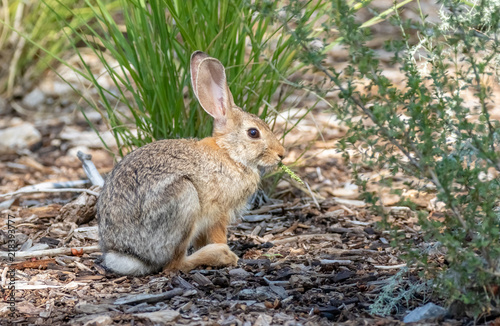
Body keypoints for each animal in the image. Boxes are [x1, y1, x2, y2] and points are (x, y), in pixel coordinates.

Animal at [96, 50, 286, 276]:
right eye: (253, 133)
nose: (281, 154)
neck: (229, 153)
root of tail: (127, 254)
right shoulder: (218, 213)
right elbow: (218, 234)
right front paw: (228, 252)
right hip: (184, 199)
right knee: (174, 265)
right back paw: (220, 255)